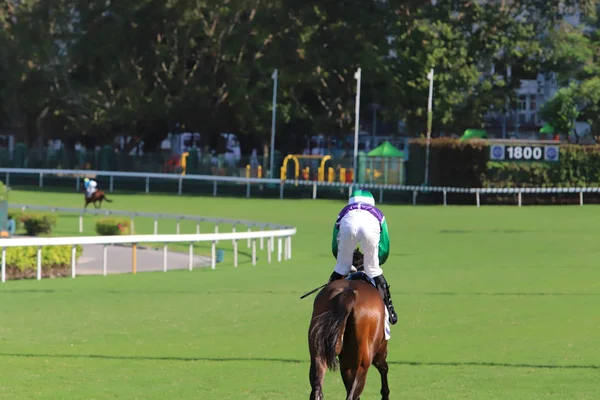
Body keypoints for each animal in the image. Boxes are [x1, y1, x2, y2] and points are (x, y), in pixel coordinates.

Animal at [308, 252, 392, 398]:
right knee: (352, 393)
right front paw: (385, 394)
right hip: (362, 363)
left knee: (317, 388)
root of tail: (348, 294)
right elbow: (384, 367)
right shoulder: (380, 351)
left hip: (318, 353)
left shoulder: (344, 362)